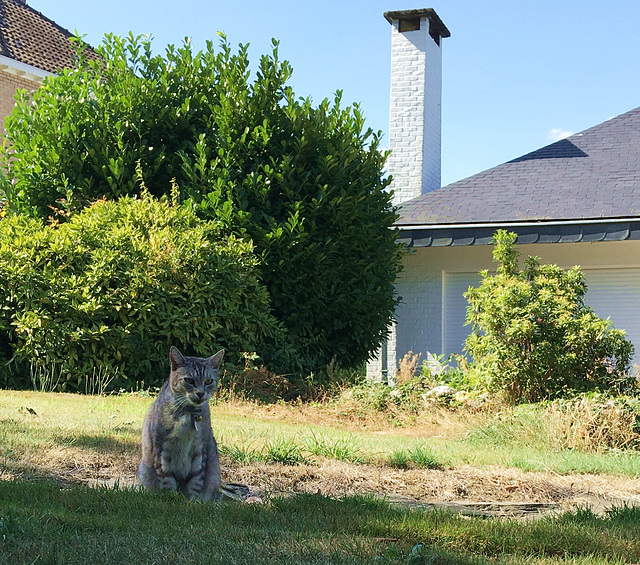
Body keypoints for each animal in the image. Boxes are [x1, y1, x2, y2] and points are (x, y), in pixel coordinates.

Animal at [138, 346, 225, 500]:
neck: (188, 414)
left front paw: (191, 501)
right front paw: (170, 498)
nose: (200, 393)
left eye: (208, 381)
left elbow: (195, 481)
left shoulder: (199, 450)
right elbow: (167, 479)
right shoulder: (161, 449)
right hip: (144, 469)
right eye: (189, 380)